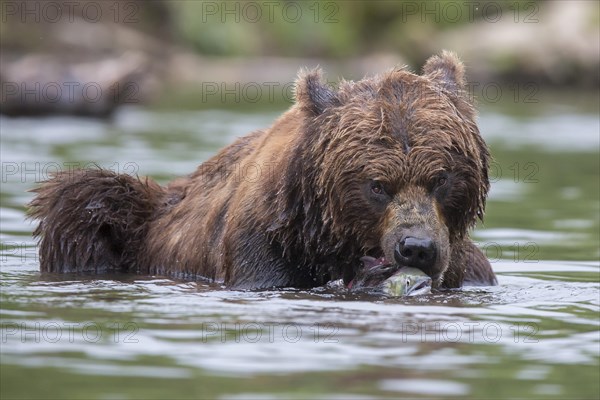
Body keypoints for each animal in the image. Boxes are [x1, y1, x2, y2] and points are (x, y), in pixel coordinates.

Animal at [28, 51, 496, 290]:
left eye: (441, 178)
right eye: (377, 185)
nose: (415, 248)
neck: (321, 232)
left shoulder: (465, 268)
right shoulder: (263, 245)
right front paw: (373, 275)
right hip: (130, 220)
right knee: (82, 203)